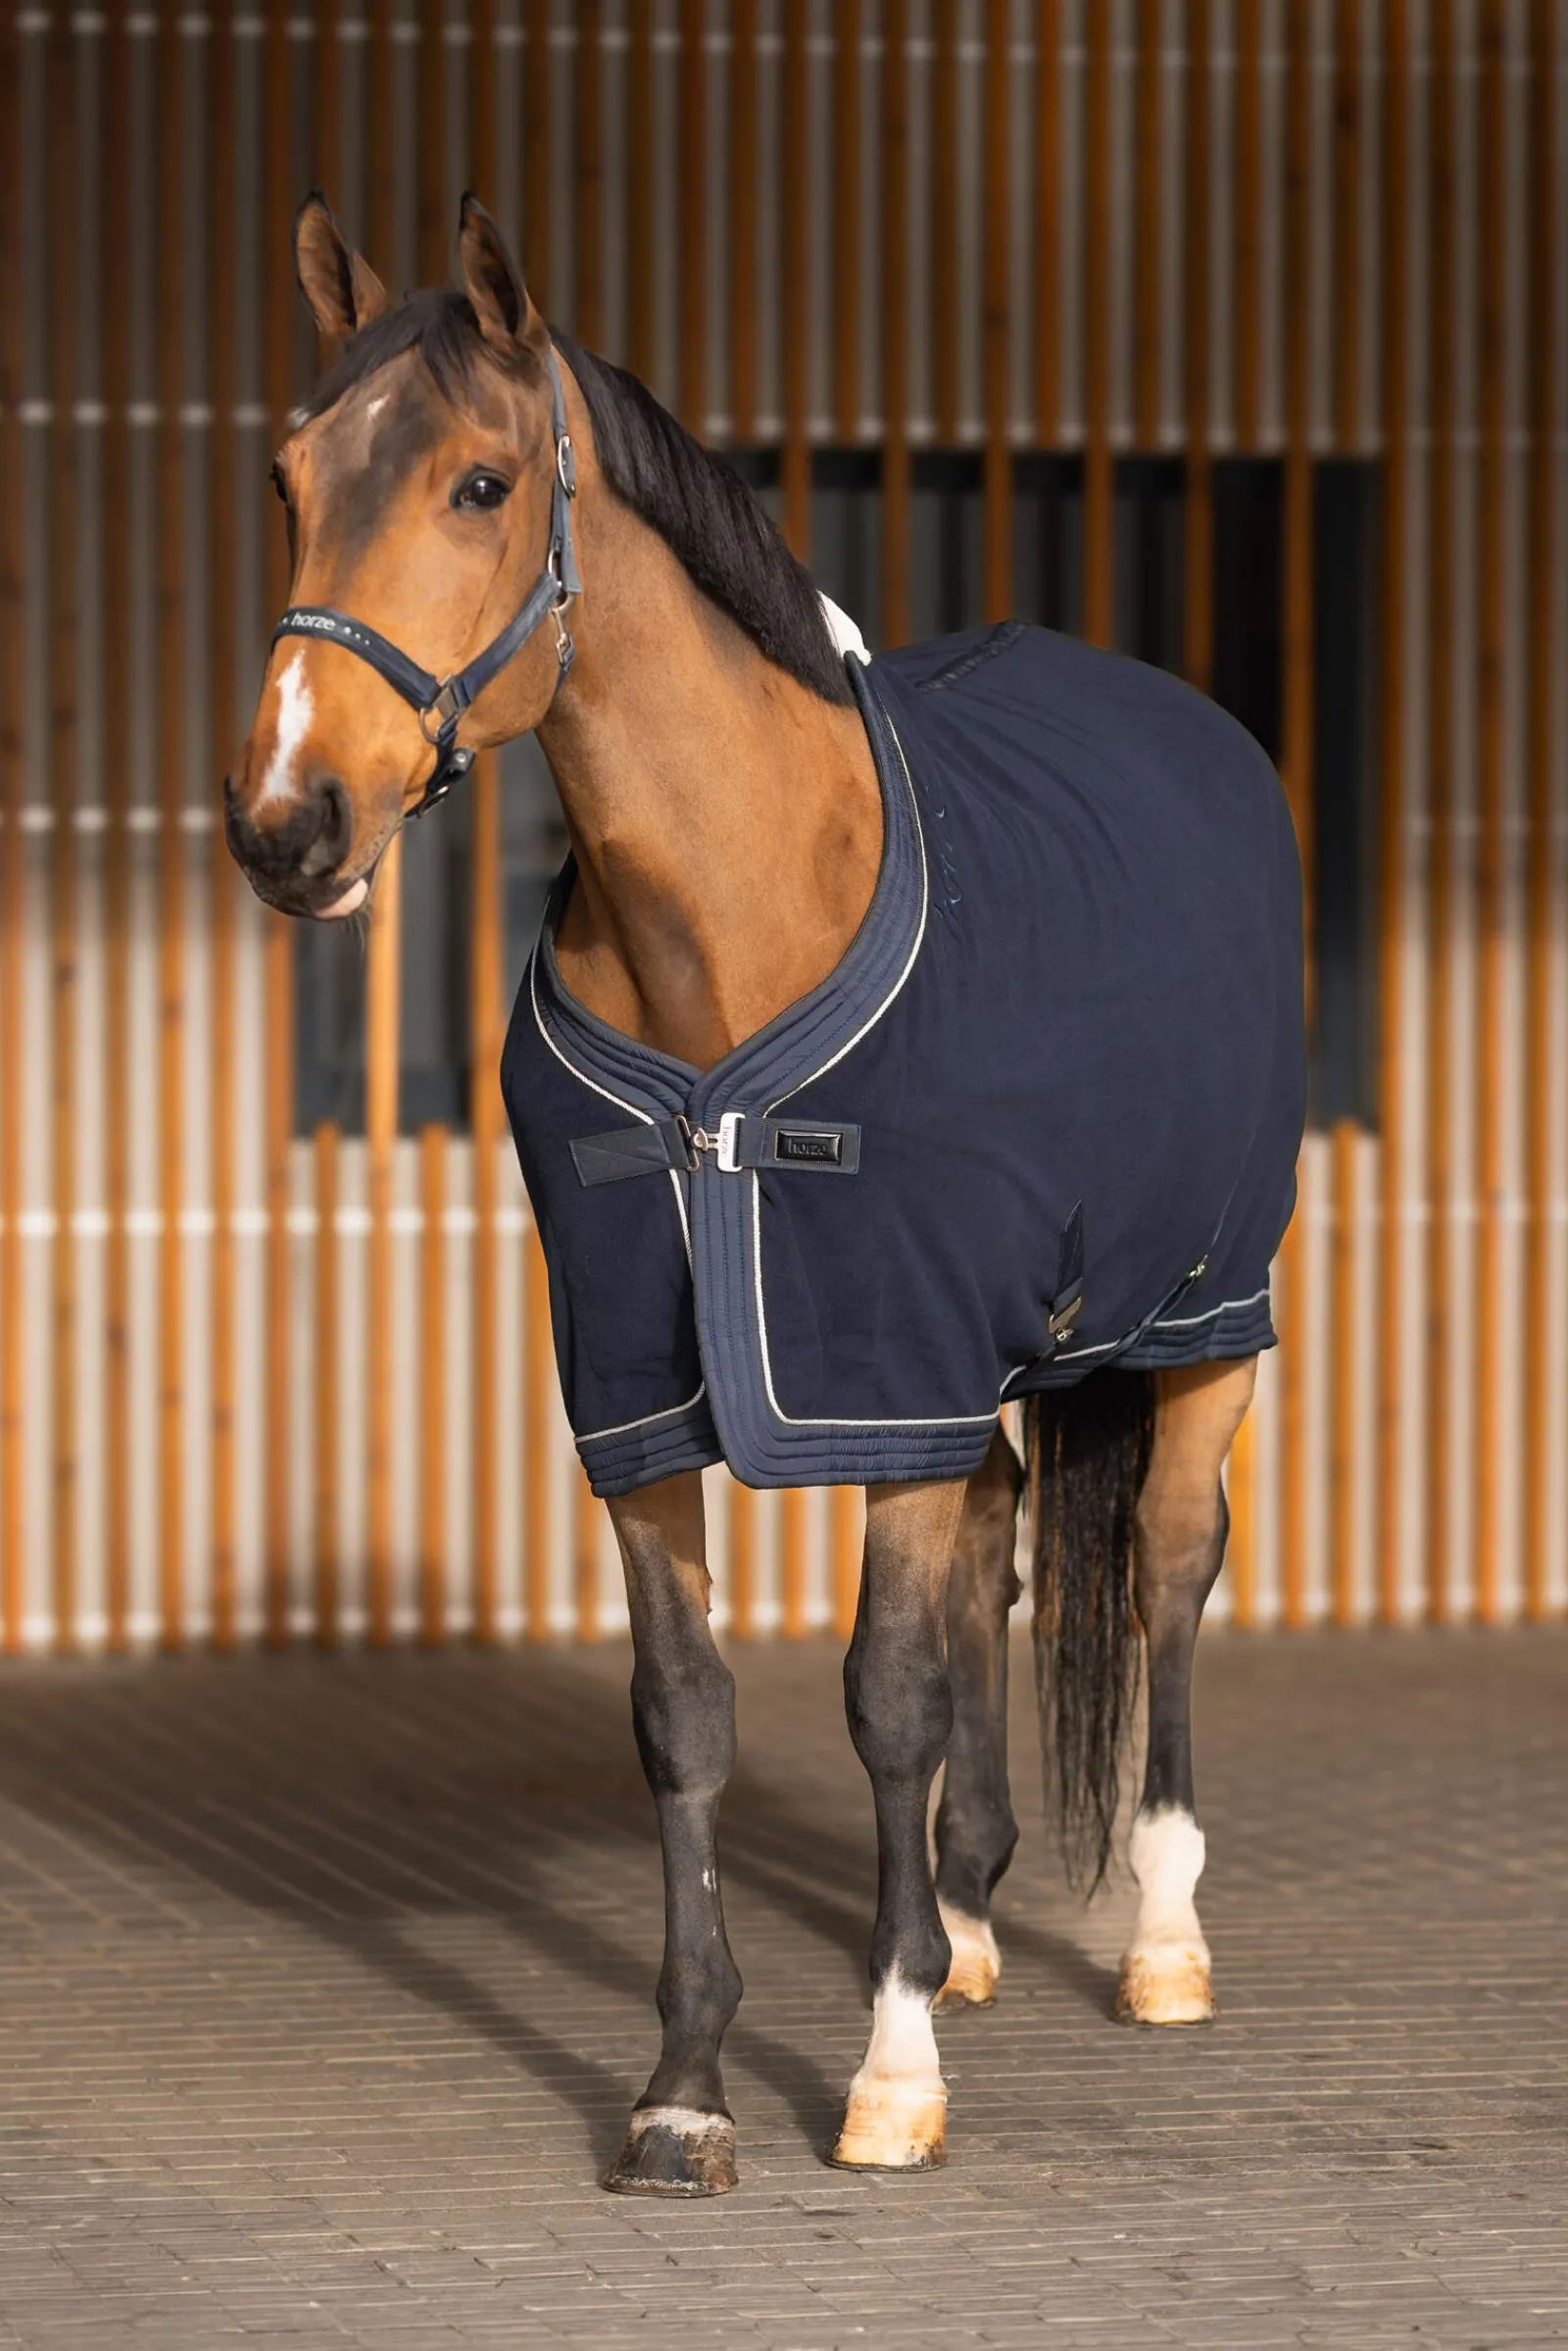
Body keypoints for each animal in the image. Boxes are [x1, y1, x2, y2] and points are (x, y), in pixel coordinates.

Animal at [225, 192, 1305, 2198]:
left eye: (483, 480)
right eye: (287, 476)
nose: (288, 821)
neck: (732, 912)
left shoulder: (875, 1357)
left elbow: (883, 1694)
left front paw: (884, 2074)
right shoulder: (651, 1389)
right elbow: (690, 1713)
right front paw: (685, 2086)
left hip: (1207, 1311)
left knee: (1166, 1568)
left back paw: (1159, 1942)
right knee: (1004, 1536)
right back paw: (967, 1918)